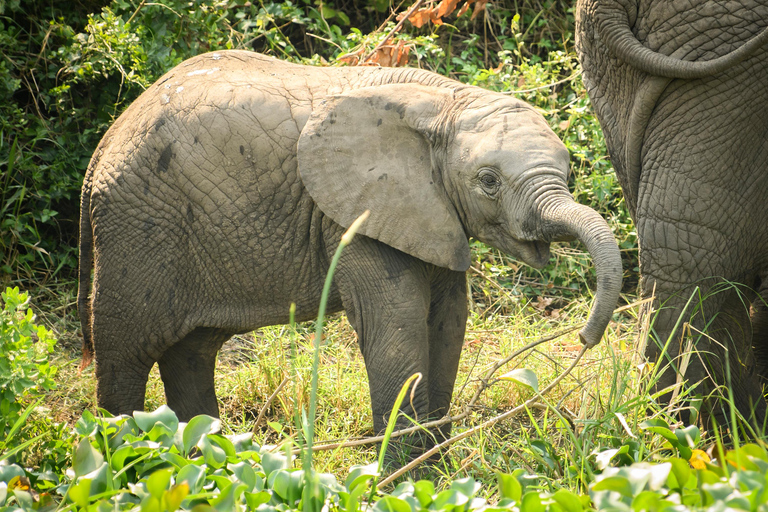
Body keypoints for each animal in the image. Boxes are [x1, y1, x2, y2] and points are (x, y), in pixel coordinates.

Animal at [76, 50, 624, 450]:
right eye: (488, 181)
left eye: (569, 170)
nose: (585, 337)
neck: (442, 100)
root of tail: (104, 145)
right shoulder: (355, 214)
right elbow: (397, 324)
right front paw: (406, 478)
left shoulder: (430, 212)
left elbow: (448, 320)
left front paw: (435, 466)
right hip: (138, 226)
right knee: (126, 354)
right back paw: (125, 461)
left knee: (191, 351)